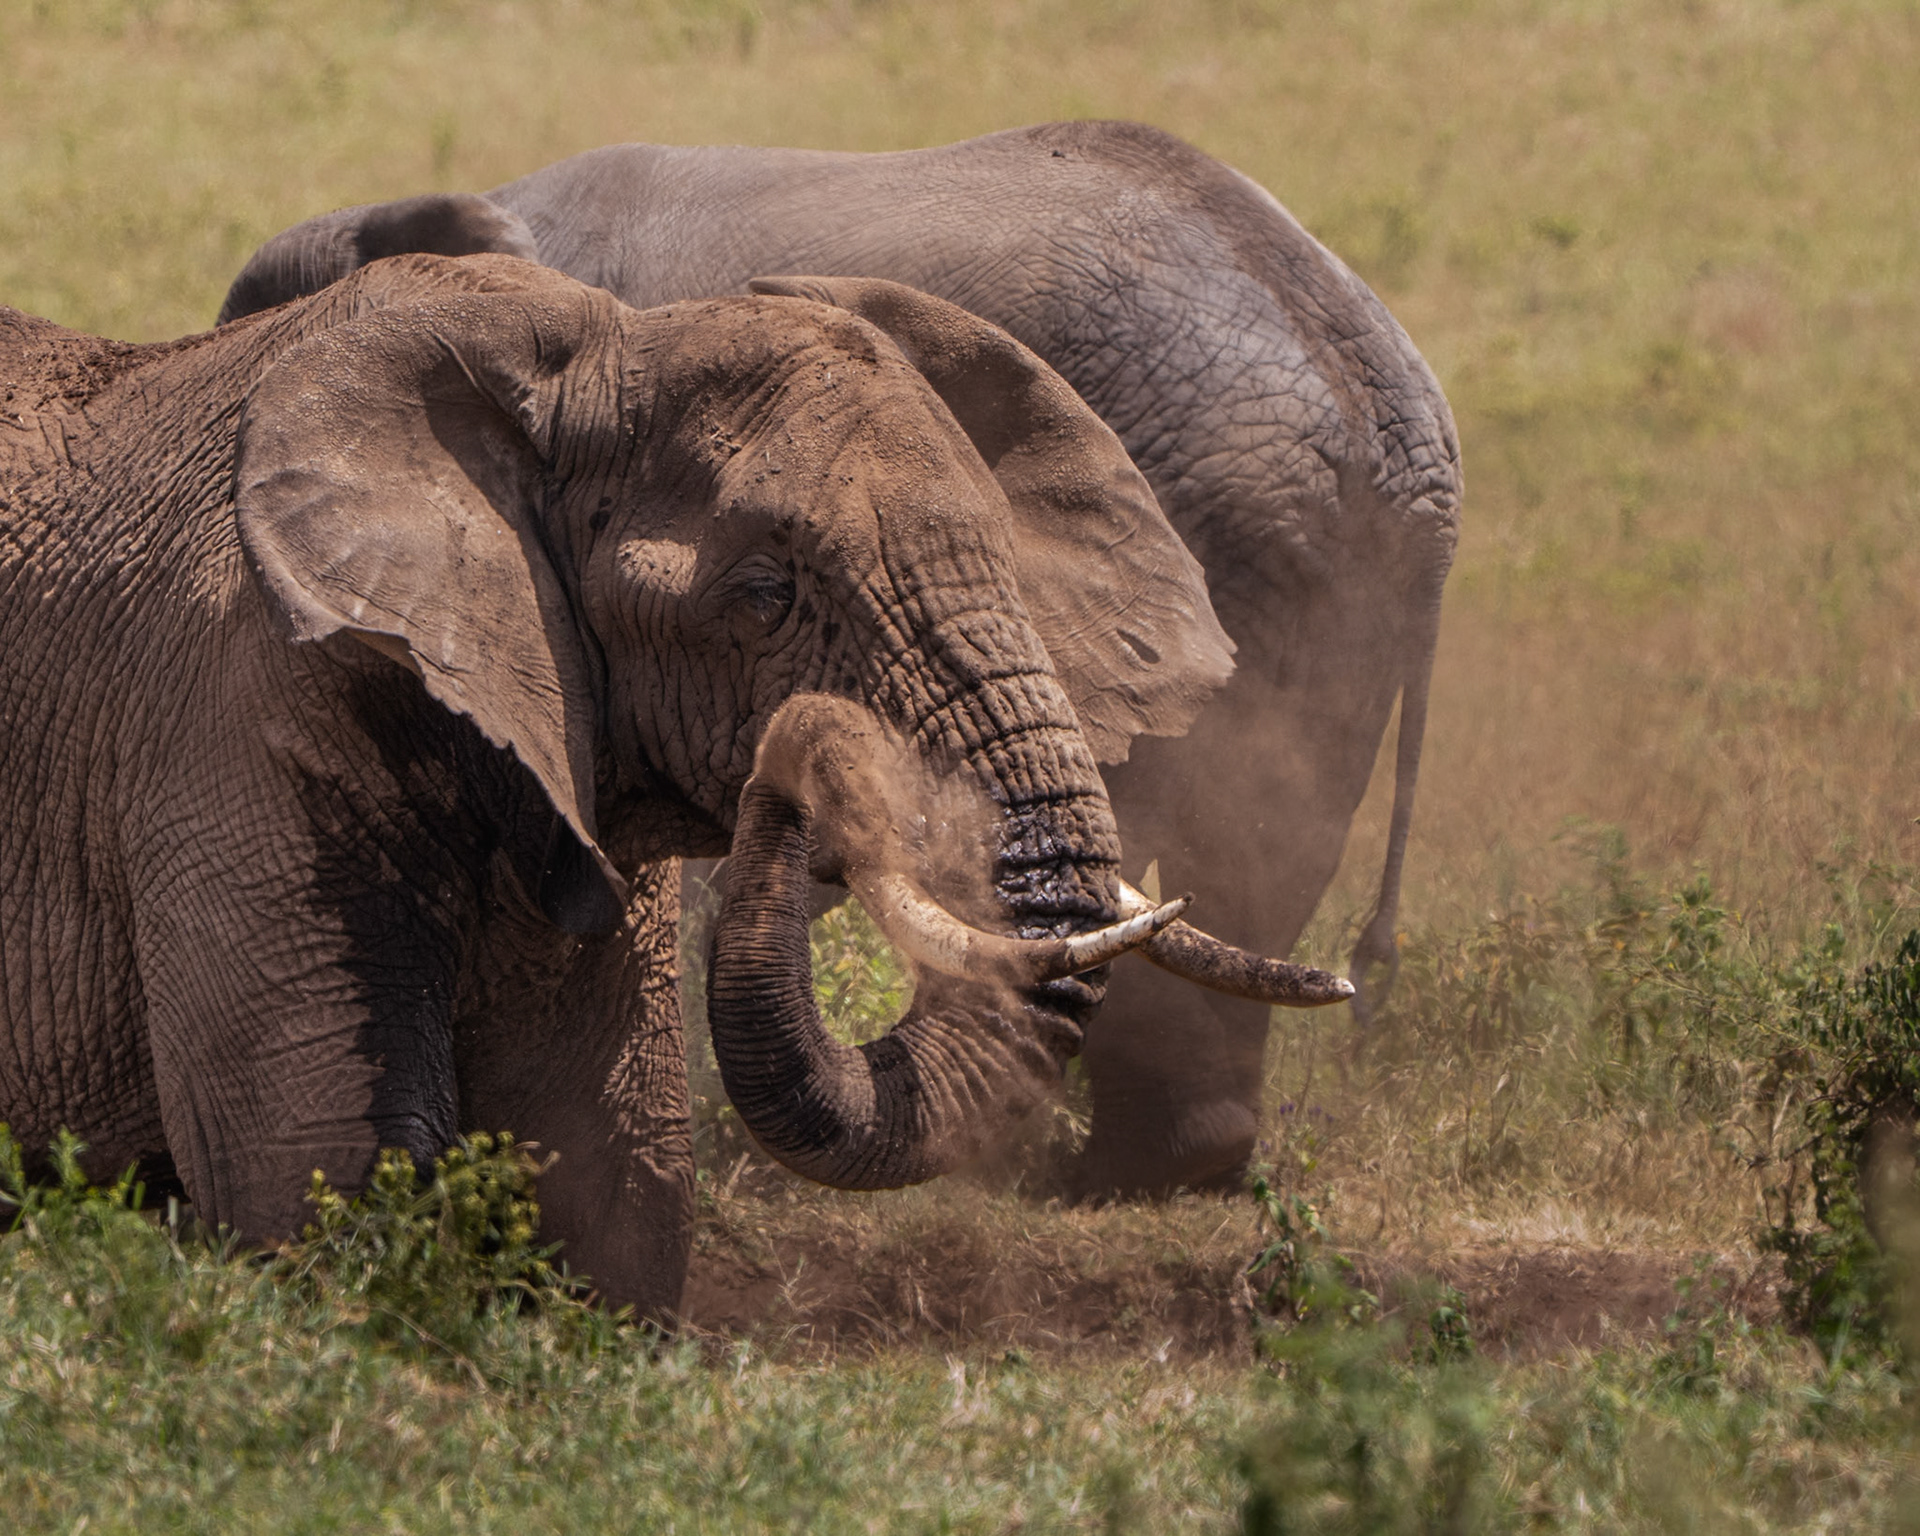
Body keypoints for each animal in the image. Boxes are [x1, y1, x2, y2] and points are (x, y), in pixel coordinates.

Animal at [1, 251, 1348, 1316]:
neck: (582, 358)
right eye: (764, 596)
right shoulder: (231, 710)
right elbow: (324, 1166)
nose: (804, 757)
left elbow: (617, 1178)